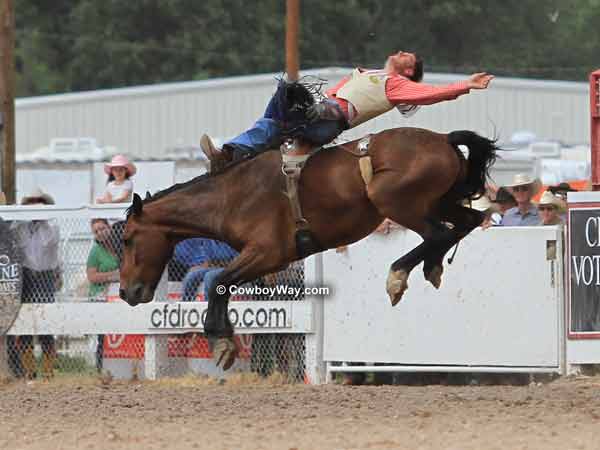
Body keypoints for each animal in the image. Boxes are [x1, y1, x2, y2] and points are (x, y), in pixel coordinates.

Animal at [118, 125, 496, 370]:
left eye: (127, 238)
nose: (125, 292)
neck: (229, 197)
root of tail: (443, 140)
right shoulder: (269, 261)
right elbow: (223, 284)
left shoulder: (266, 253)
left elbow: (217, 282)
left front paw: (221, 344)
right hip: (441, 202)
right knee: (469, 221)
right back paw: (432, 266)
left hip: (396, 202)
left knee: (438, 233)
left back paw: (398, 276)